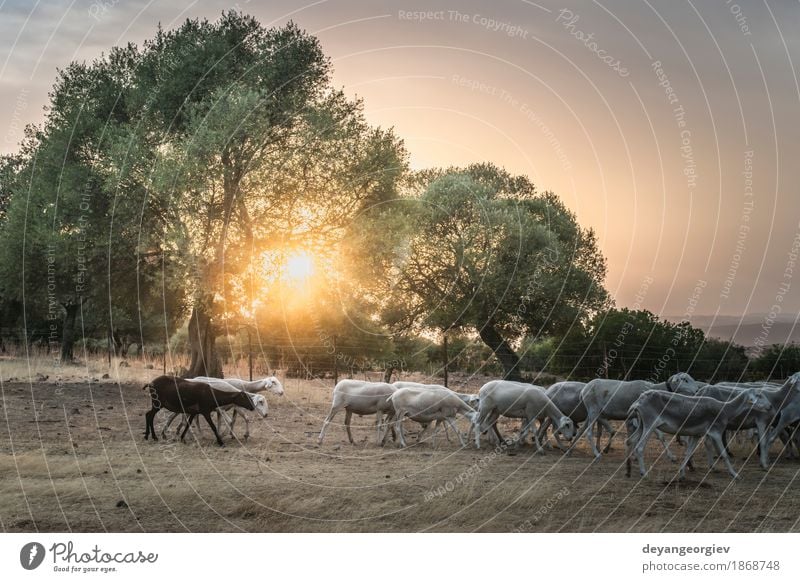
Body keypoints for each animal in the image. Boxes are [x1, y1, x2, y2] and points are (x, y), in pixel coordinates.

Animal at [568, 374, 700, 460]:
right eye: (685, 380)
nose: (697, 390)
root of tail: (583, 390)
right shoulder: (647, 416)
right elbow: (660, 436)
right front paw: (671, 456)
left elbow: (633, 434)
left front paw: (633, 454)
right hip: (593, 410)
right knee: (589, 432)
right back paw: (597, 454)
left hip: (593, 412)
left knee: (581, 430)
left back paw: (570, 450)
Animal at [628, 390, 772, 482]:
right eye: (759, 395)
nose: (770, 406)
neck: (726, 410)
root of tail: (637, 402)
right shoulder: (716, 431)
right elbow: (724, 454)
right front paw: (736, 475)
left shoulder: (696, 434)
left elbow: (688, 453)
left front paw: (682, 474)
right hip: (650, 422)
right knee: (639, 447)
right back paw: (644, 474)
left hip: (642, 424)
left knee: (630, 440)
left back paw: (629, 470)